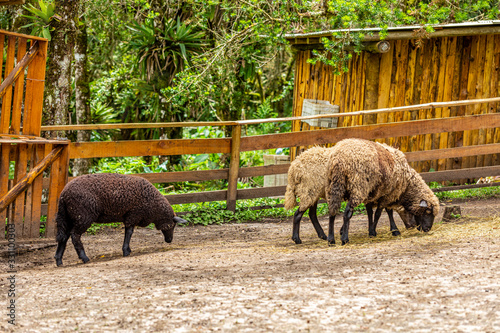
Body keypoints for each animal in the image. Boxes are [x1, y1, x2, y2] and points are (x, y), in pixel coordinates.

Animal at [54, 172, 188, 266]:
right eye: (172, 226)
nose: (169, 240)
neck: (154, 206)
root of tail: (63, 195)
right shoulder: (133, 214)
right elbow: (129, 233)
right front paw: (126, 251)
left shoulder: (131, 216)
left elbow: (128, 233)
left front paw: (127, 249)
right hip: (82, 216)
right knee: (75, 236)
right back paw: (84, 258)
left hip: (68, 217)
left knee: (64, 237)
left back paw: (59, 260)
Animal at [284, 147, 412, 243]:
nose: (412, 226)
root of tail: (293, 169)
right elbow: (386, 211)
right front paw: (394, 230)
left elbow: (370, 211)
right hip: (308, 190)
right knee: (298, 214)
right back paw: (297, 239)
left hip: (312, 193)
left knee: (312, 214)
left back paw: (323, 235)